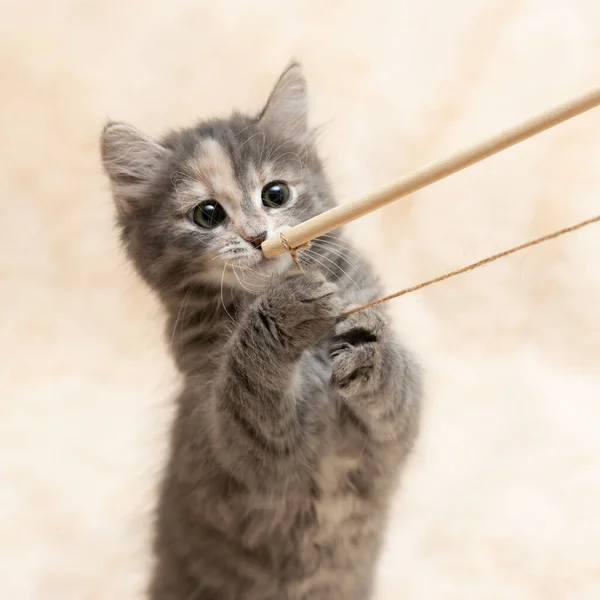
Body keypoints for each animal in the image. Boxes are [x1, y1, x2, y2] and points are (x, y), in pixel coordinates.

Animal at [101, 63, 422, 596]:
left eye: (276, 194)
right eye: (207, 214)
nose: (257, 237)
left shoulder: (388, 439)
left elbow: (398, 388)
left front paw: (367, 343)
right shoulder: (238, 440)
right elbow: (249, 382)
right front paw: (288, 307)